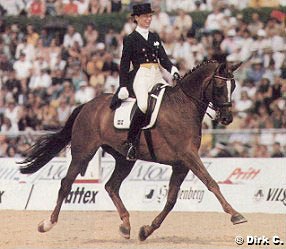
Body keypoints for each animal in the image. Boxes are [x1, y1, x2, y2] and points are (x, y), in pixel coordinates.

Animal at [19, 59, 246, 241]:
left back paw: (126, 225)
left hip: (124, 158)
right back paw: (47, 224)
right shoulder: (188, 156)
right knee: (66, 184)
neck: (184, 105)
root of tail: (87, 105)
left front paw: (146, 230)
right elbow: (211, 183)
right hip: (83, 152)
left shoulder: (181, 164)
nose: (227, 119)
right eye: (219, 86)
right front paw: (236, 215)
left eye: (233, 86)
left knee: (111, 186)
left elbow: (171, 200)